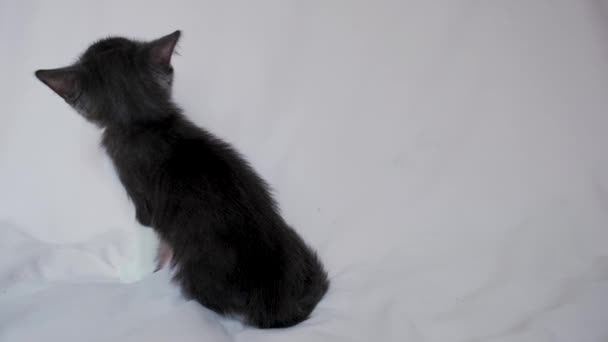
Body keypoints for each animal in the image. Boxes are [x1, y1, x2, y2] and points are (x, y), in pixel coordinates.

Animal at [34, 30, 328, 328]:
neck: (144, 122)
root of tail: (279, 303)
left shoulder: (143, 202)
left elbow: (145, 237)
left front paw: (136, 274)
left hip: (198, 272)